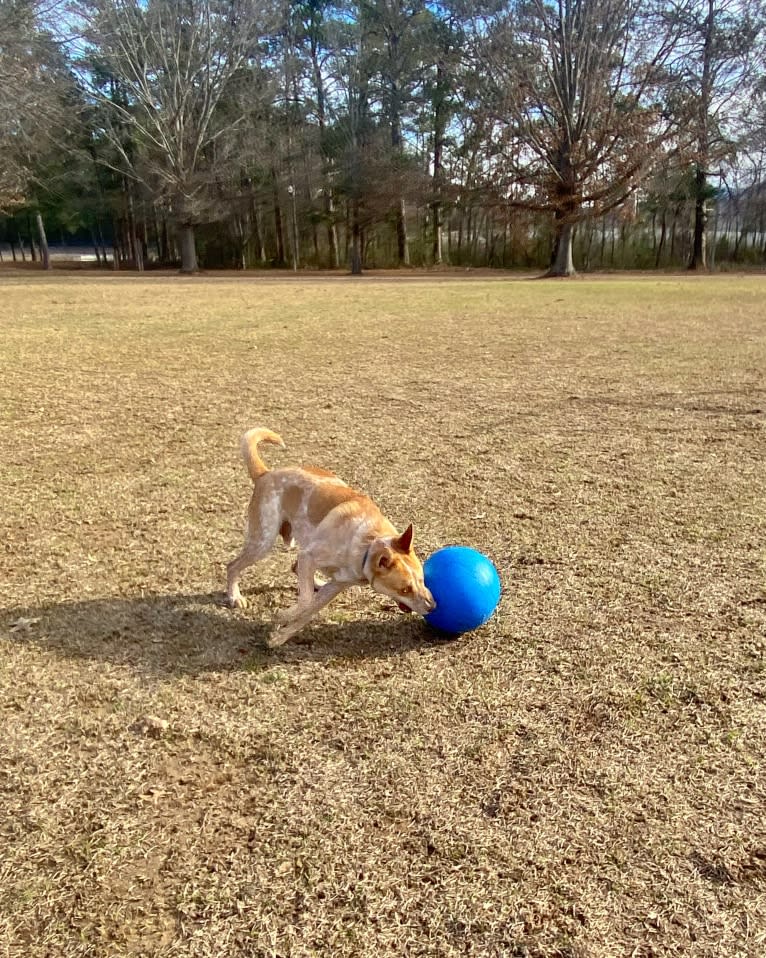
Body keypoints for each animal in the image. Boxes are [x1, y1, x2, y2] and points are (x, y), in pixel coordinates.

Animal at [225, 430, 436, 648]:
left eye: (422, 579)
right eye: (405, 589)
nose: (433, 606)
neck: (366, 545)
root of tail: (265, 474)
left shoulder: (336, 585)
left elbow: (308, 612)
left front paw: (279, 636)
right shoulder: (309, 557)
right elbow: (305, 603)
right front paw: (282, 616)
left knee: (296, 569)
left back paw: (315, 582)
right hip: (263, 541)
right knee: (232, 566)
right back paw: (235, 596)